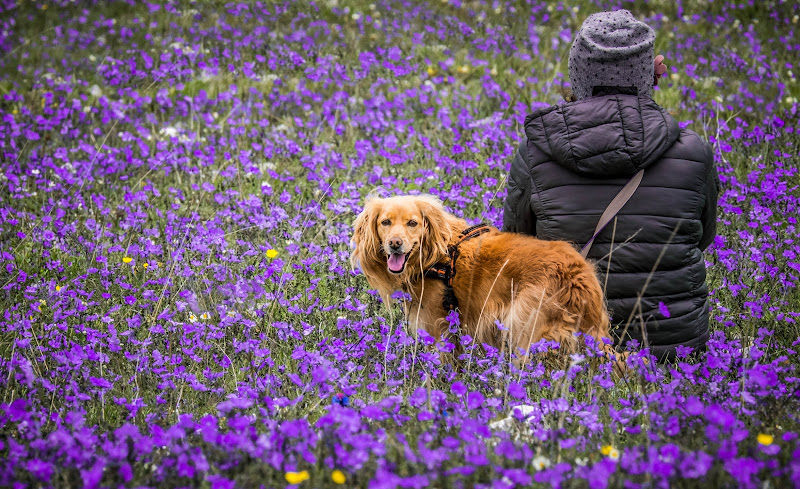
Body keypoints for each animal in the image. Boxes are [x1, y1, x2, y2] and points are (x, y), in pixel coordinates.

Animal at [350, 193, 612, 358]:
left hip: (526, 330)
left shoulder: (437, 328)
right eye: (385, 222)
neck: (436, 254)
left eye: (412, 223)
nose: (395, 244)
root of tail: (578, 275)